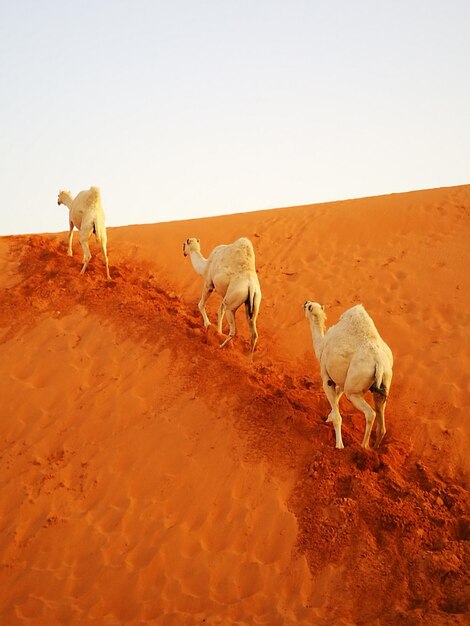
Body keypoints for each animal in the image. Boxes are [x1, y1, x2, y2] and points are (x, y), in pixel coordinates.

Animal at [302, 300, 392, 446]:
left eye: (309, 306)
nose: (305, 302)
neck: (321, 344)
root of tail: (378, 362)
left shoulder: (327, 377)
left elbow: (338, 415)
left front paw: (339, 445)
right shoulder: (343, 380)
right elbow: (337, 398)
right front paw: (329, 417)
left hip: (354, 390)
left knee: (370, 413)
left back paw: (363, 446)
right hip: (384, 383)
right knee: (381, 421)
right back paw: (375, 447)